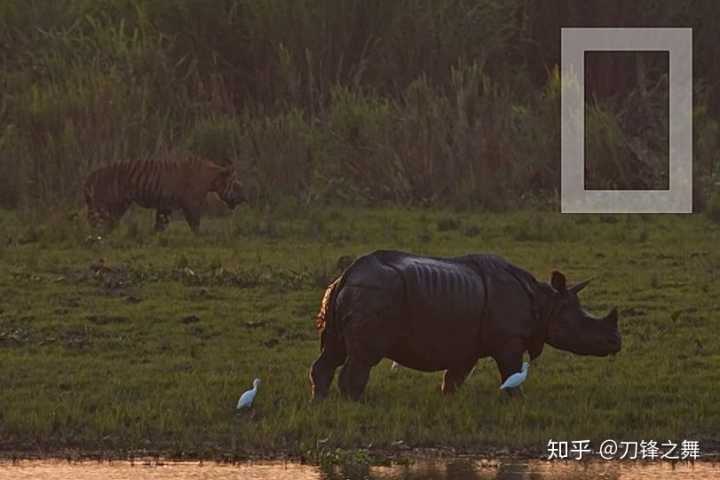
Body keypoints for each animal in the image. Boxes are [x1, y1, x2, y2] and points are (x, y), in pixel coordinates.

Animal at [83, 153, 246, 233]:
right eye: (236, 184)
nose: (244, 197)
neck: (212, 178)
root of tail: (91, 175)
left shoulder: (165, 206)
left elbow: (160, 224)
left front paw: (154, 237)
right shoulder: (191, 204)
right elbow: (195, 224)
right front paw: (200, 238)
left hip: (119, 205)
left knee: (109, 222)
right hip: (103, 205)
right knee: (95, 222)